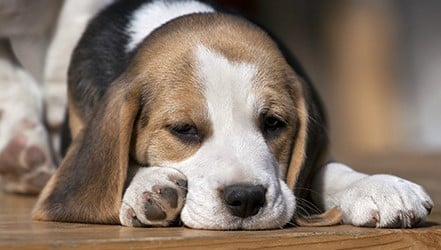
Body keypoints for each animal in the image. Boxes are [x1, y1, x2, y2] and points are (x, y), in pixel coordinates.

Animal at [32, 0, 432, 229]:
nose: (247, 199)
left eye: (273, 123)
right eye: (183, 129)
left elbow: (323, 170)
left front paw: (377, 186)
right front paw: (148, 185)